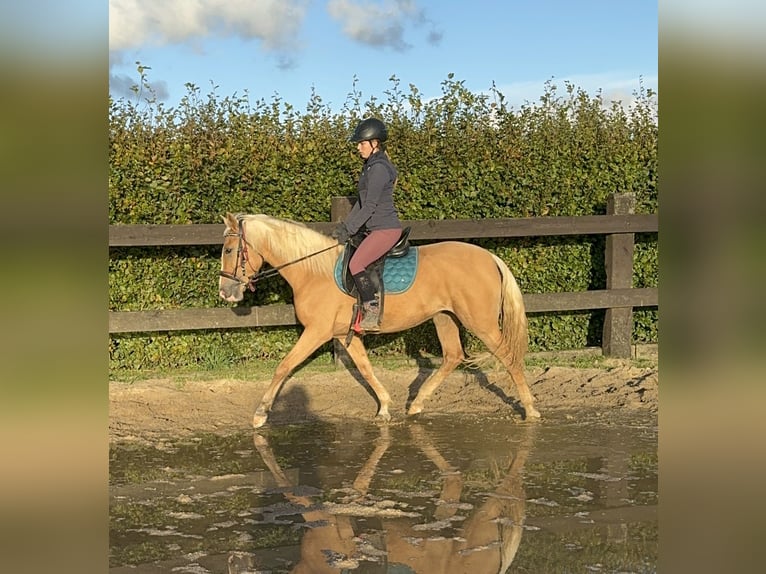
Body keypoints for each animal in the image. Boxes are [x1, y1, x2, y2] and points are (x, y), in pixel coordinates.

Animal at [216, 213, 540, 428]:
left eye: (230, 250)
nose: (225, 292)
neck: (313, 271)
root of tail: (490, 257)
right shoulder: (343, 334)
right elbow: (365, 368)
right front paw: (384, 406)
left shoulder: (317, 332)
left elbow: (284, 366)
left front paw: (260, 413)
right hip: (444, 317)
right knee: (453, 356)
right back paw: (417, 405)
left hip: (480, 322)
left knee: (509, 356)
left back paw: (530, 410)